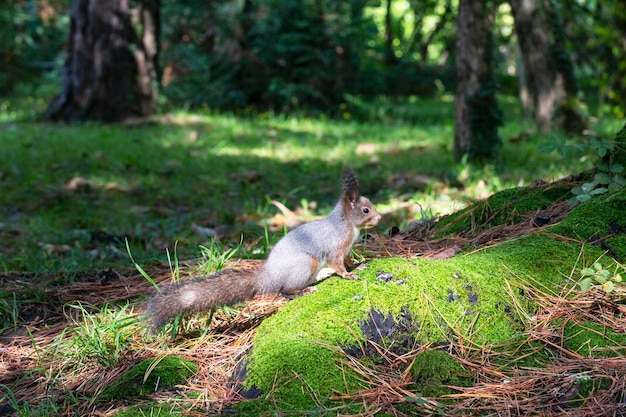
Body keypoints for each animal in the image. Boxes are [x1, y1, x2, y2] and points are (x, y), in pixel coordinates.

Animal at [145, 167, 380, 334]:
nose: (379, 218)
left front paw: (360, 265)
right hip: (306, 264)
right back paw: (303, 291)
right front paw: (349, 275)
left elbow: (349, 260)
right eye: (365, 210)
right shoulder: (336, 247)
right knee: (285, 290)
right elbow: (338, 264)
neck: (348, 224)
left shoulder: (347, 250)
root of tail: (272, 275)